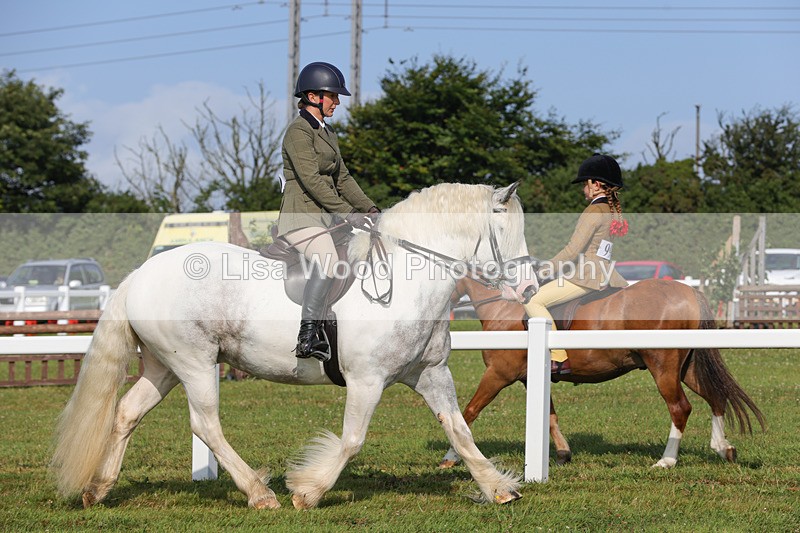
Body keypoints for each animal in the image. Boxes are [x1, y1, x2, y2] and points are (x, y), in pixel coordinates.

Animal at [50, 182, 538, 510]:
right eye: (503, 232)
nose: (531, 289)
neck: (406, 281)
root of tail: (139, 276)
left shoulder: (430, 374)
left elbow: (459, 430)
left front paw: (498, 488)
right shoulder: (367, 380)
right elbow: (352, 440)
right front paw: (308, 491)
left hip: (163, 366)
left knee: (127, 413)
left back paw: (98, 489)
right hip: (194, 362)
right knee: (205, 425)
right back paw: (260, 493)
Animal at [439, 276, 765, 469]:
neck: (503, 310)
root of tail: (689, 291)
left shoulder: (498, 375)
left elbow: (467, 413)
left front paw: (451, 458)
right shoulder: (531, 379)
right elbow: (550, 417)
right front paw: (563, 453)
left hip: (664, 367)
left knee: (680, 408)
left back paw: (666, 461)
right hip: (689, 368)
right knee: (716, 397)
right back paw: (723, 448)